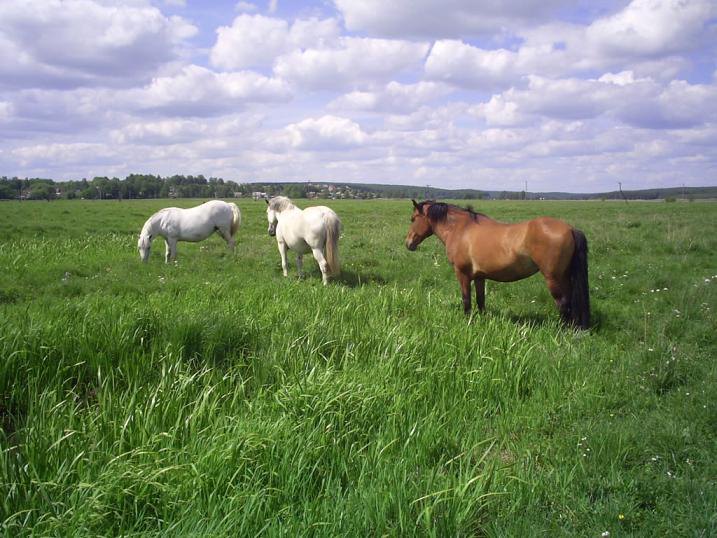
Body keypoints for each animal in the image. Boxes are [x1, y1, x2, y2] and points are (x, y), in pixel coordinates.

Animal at [406, 199, 592, 328]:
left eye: (413, 219)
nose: (408, 243)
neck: (461, 229)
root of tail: (570, 228)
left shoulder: (462, 274)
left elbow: (466, 299)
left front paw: (467, 321)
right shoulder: (479, 276)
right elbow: (480, 299)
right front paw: (482, 319)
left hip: (554, 278)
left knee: (564, 303)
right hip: (565, 277)